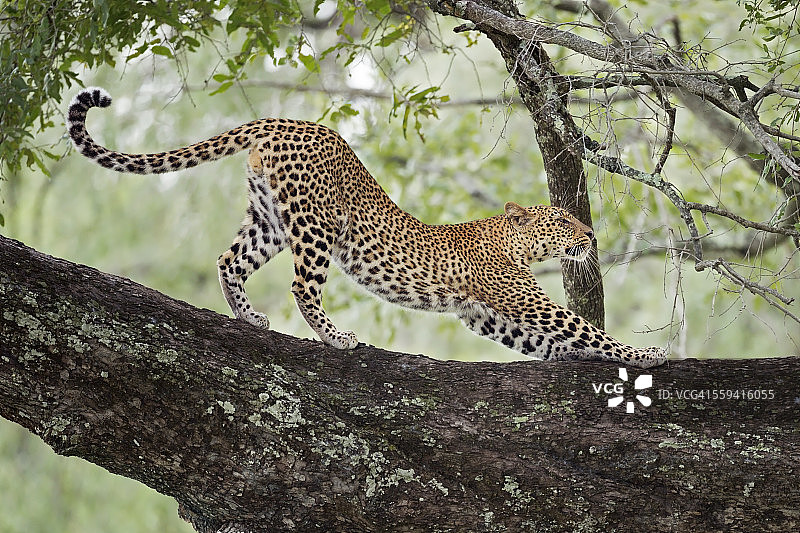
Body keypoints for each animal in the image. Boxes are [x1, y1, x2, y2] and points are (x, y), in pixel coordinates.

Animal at [69, 88, 668, 370]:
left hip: (268, 219)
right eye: (564, 220)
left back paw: (249, 317)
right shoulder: (523, 300)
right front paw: (649, 356)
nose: (591, 238)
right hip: (314, 225)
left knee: (228, 260)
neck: (512, 242)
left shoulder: (486, 315)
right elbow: (583, 328)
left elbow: (555, 342)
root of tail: (287, 120)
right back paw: (339, 338)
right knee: (302, 286)